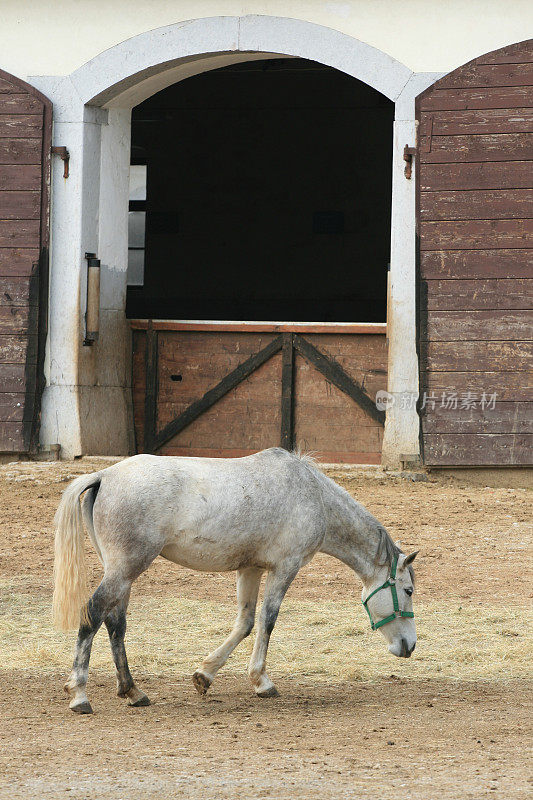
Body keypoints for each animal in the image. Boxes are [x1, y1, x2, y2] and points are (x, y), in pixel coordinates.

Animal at [54, 446, 418, 716]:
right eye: (408, 590)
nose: (410, 646)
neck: (312, 494)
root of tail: (104, 476)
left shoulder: (251, 568)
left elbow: (245, 623)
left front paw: (205, 675)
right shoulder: (284, 568)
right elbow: (267, 620)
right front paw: (262, 681)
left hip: (121, 573)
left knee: (115, 623)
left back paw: (133, 691)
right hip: (126, 569)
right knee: (93, 613)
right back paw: (79, 694)